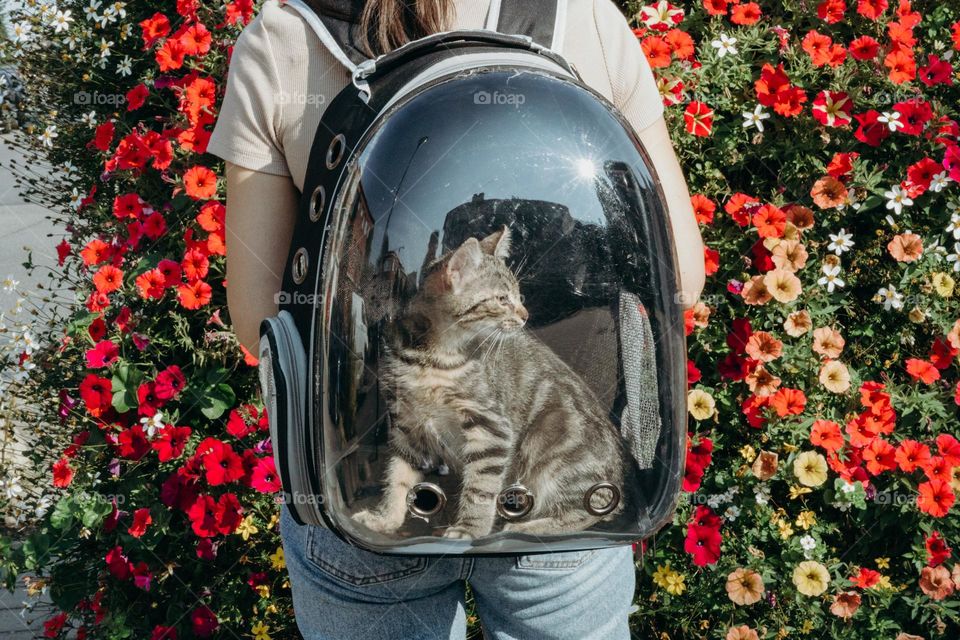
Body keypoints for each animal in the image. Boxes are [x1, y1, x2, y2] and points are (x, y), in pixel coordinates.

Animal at [348, 228, 628, 536]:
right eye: (503, 299)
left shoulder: (491, 426)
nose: (525, 315)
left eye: (520, 296)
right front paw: (386, 517)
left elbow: (480, 486)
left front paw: (470, 529)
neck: (434, 357)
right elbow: (398, 476)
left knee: (587, 510)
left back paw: (523, 528)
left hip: (554, 441)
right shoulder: (408, 425)